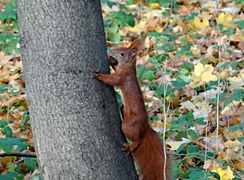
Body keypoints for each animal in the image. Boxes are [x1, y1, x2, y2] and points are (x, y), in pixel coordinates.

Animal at [92, 38, 169, 179]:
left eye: (122, 53)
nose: (111, 51)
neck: (128, 67)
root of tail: (145, 126)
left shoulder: (122, 77)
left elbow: (111, 80)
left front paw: (99, 75)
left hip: (128, 125)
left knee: (137, 140)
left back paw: (129, 147)